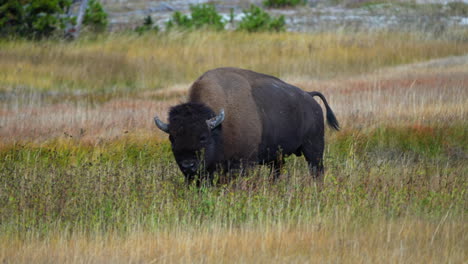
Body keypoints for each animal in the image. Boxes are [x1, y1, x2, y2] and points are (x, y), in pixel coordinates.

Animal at [155, 67, 338, 185]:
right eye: (172, 138)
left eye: (203, 137)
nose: (188, 166)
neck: (219, 127)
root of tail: (309, 96)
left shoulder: (243, 164)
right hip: (277, 156)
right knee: (277, 171)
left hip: (313, 148)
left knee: (316, 170)